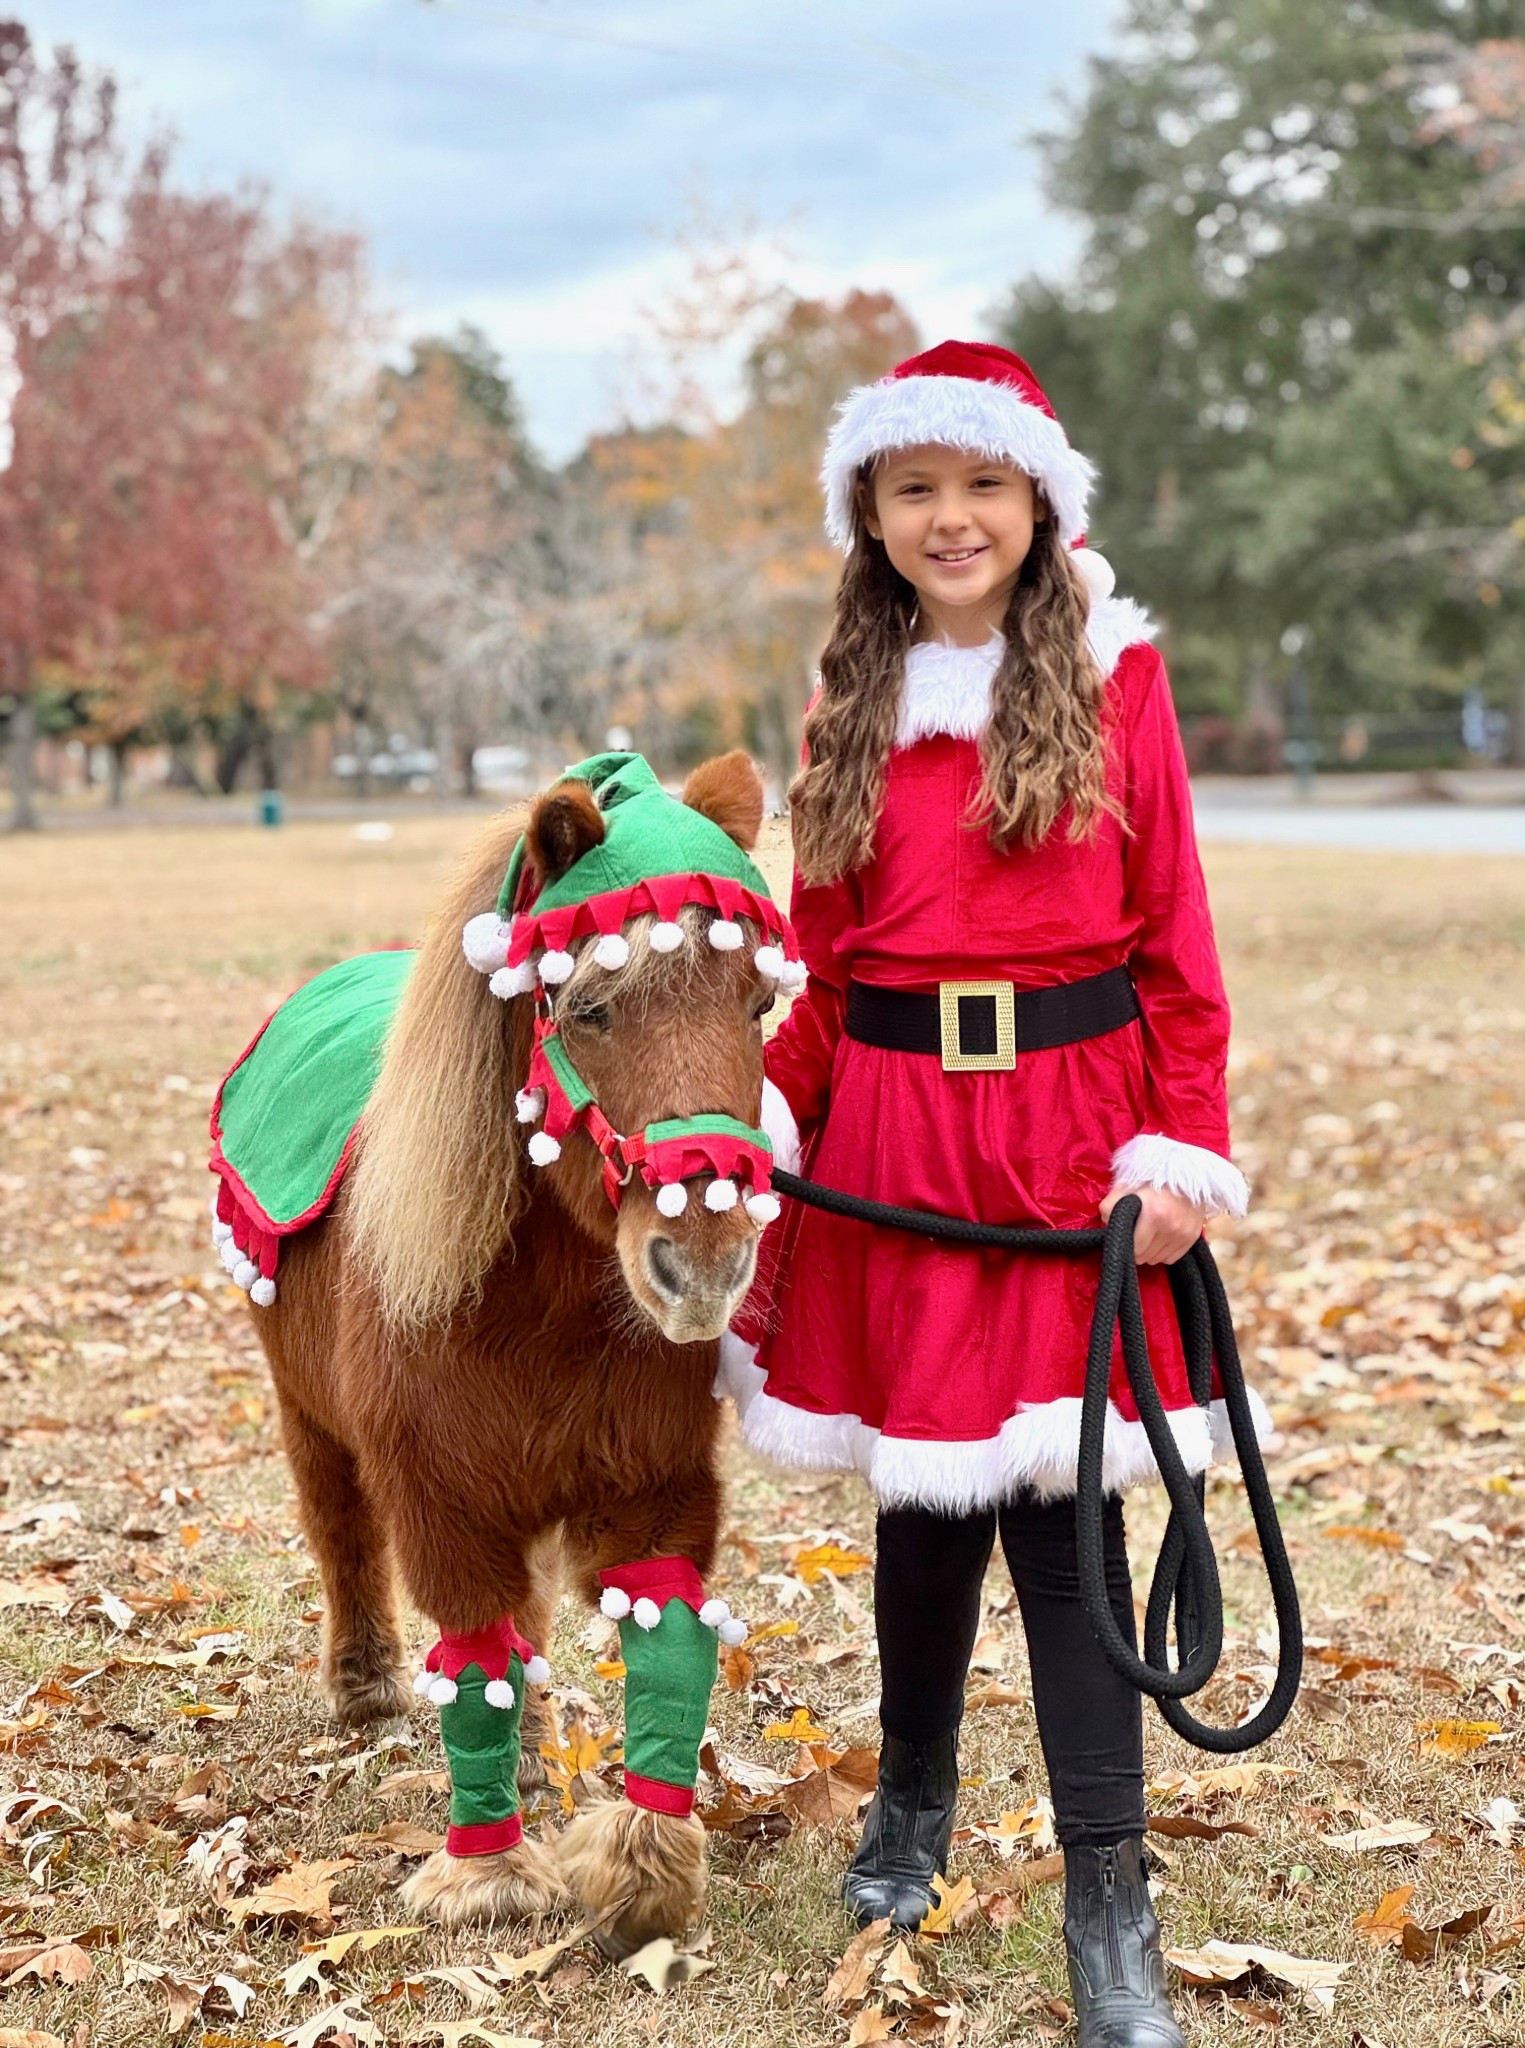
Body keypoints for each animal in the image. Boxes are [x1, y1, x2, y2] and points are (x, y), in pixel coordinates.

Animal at [216, 749, 797, 1951]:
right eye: (591, 1008)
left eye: (759, 1001)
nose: (704, 1265)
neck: (544, 1310)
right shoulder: (440, 1497)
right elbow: (470, 1656)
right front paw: (485, 1874)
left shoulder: (653, 1487)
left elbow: (666, 1638)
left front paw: (641, 1868)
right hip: (305, 1411)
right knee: (342, 1535)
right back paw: (367, 1685)